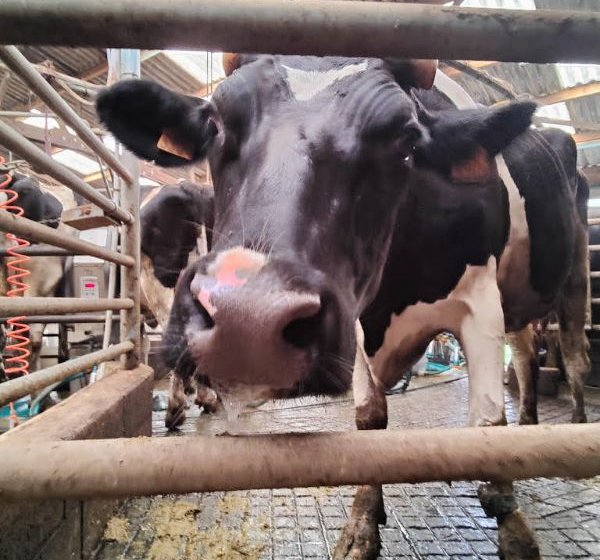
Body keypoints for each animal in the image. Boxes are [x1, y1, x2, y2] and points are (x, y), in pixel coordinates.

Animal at [95, 55, 584, 560]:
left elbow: (487, 422)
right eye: (214, 123)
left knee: (572, 355)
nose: (247, 322)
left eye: (406, 140)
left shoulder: (478, 294)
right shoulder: (360, 325)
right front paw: (362, 525)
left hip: (575, 273)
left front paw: (512, 529)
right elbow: (370, 420)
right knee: (525, 355)